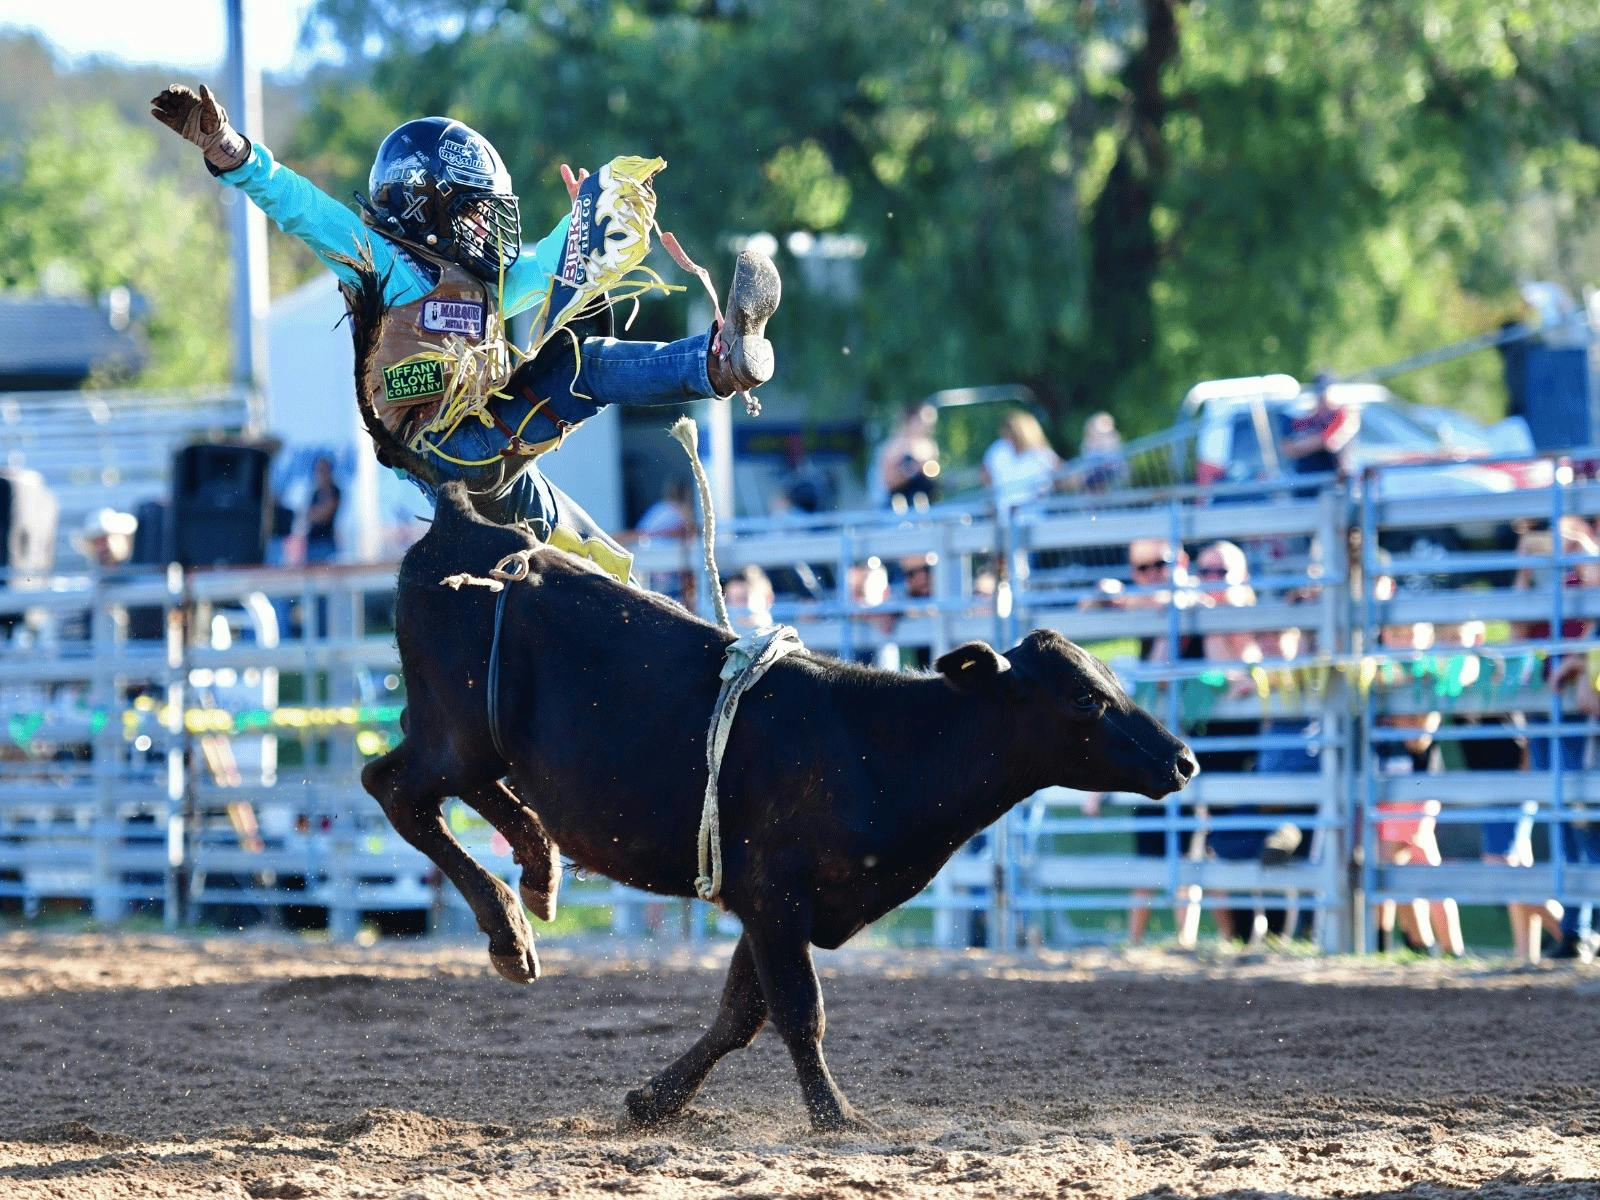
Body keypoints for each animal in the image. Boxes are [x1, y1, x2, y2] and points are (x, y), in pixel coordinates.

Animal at [346, 268, 1199, 1131]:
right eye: (1085, 699)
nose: (1184, 760)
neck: (882, 741)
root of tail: (459, 521)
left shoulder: (776, 907)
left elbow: (739, 1012)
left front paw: (655, 1098)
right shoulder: (776, 896)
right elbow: (795, 1010)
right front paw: (835, 1116)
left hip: (470, 737)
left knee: (465, 793)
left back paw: (536, 870)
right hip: (454, 731)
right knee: (392, 787)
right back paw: (508, 932)